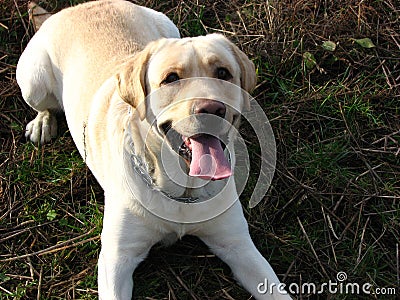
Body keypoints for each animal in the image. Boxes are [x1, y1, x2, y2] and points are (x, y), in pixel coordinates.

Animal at [17, 0, 290, 300]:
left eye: (223, 73)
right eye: (170, 78)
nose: (212, 109)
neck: (182, 192)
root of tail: (80, 6)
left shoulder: (238, 245)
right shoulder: (117, 258)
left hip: (168, 24)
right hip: (32, 81)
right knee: (44, 105)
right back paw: (42, 123)